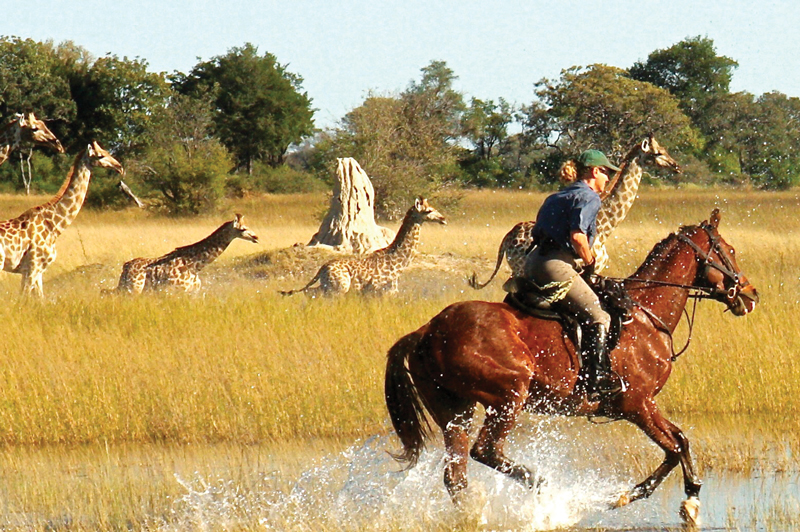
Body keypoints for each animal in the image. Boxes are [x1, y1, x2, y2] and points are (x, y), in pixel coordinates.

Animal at [0, 141, 123, 298]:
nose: (119, 167)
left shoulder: (37, 270)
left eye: (107, 151)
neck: (54, 226)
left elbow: (40, 298)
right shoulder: (32, 266)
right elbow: (24, 297)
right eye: (100, 155)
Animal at [109, 213, 258, 296]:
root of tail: (126, 266)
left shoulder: (192, 293)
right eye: (243, 229)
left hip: (128, 288)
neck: (195, 265)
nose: (256, 237)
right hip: (134, 289)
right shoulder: (173, 291)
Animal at [282, 196, 446, 298]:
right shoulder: (381, 291)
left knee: (310, 292)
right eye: (429, 210)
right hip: (338, 288)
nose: (443, 219)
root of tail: (322, 268)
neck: (396, 260)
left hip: (328, 286)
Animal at [384, 208, 760, 524]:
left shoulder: (641, 406)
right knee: (486, 450)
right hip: (508, 395)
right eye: (729, 250)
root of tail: (426, 330)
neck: (645, 314)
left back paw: (476, 514)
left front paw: (683, 496)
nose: (751, 294)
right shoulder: (636, 404)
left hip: (454, 409)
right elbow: (675, 446)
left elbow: (679, 440)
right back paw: (542, 487)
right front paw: (647, 499)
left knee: (456, 475)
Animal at [468, 135, 680, 288]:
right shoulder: (591, 268)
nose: (676, 166)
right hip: (520, 267)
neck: (607, 227)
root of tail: (507, 237)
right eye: (658, 153)